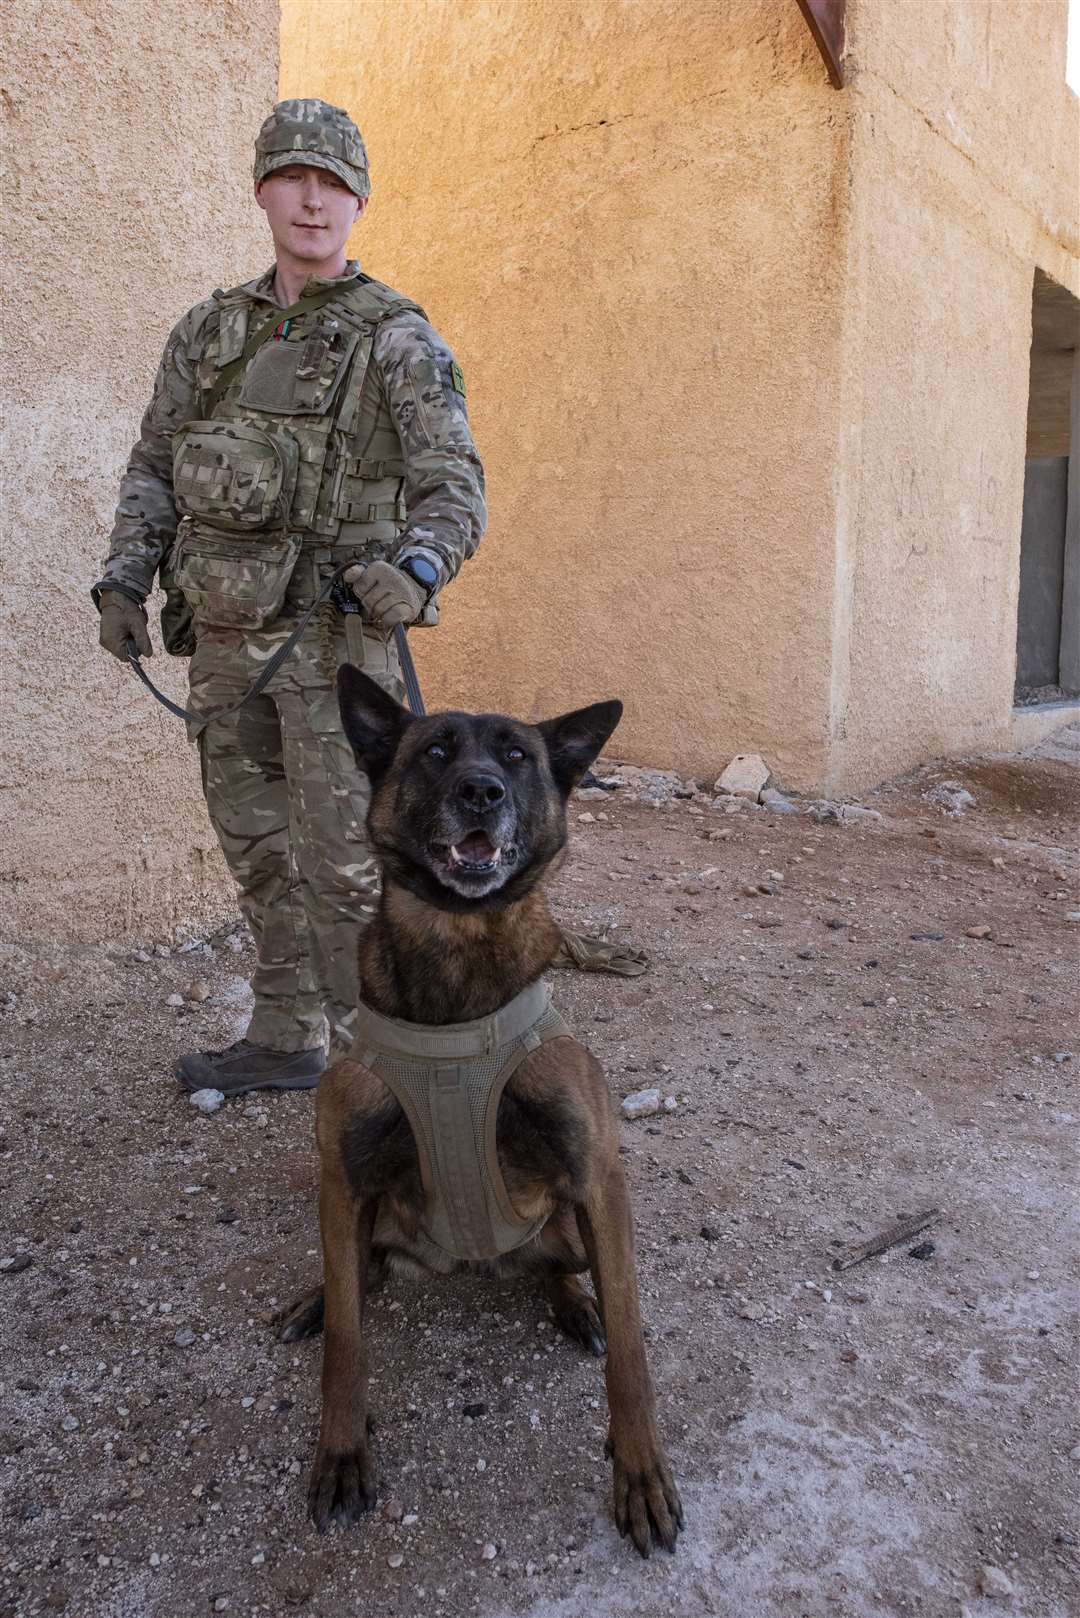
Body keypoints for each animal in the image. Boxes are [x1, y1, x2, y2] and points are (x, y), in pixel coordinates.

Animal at [281, 666, 683, 1553]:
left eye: (518, 756)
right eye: (435, 751)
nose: (481, 791)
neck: (458, 954)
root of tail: (475, 1264)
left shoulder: (598, 1178)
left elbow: (632, 1356)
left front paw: (640, 1472)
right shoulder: (343, 1176)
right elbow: (347, 1347)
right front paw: (341, 1452)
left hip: (570, 1221)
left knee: (563, 1267)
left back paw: (575, 1303)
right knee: (357, 1273)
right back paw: (316, 1297)